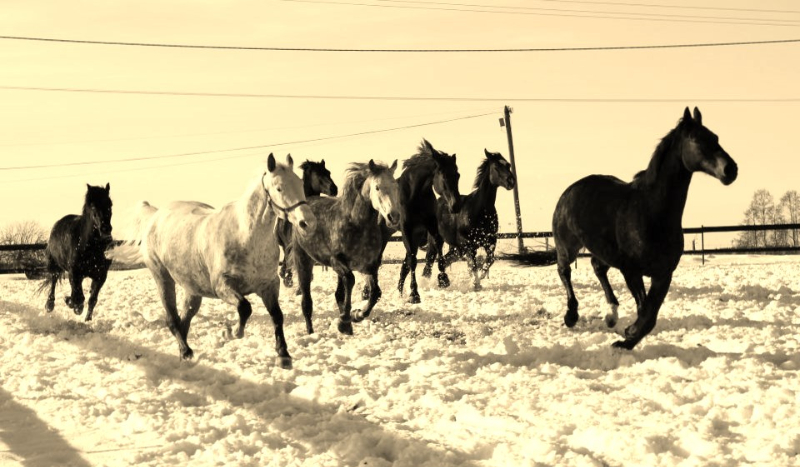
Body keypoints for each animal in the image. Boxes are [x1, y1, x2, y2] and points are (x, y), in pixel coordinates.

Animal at [41, 183, 113, 322]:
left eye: (110, 204)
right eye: (93, 206)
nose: (105, 228)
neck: (91, 247)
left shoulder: (101, 276)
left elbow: (92, 299)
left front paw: (87, 318)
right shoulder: (74, 273)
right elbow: (78, 297)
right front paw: (71, 304)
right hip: (56, 267)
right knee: (53, 282)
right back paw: (50, 305)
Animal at [109, 154, 316, 370]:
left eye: (300, 183)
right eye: (279, 188)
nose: (308, 223)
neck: (245, 237)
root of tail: (156, 216)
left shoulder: (269, 285)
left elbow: (277, 315)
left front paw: (284, 355)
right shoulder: (223, 286)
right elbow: (245, 308)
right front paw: (230, 332)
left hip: (193, 289)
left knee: (185, 320)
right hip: (162, 277)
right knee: (172, 319)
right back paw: (186, 351)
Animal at [424, 149, 520, 288]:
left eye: (508, 165)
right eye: (496, 167)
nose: (511, 181)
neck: (480, 210)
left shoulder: (490, 241)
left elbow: (489, 259)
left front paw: (482, 275)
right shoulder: (469, 245)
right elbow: (473, 265)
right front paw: (476, 283)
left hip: (457, 249)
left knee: (444, 262)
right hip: (435, 242)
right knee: (429, 265)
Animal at [512, 109, 736, 352]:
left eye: (715, 137)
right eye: (695, 139)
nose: (730, 169)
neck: (651, 212)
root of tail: (569, 191)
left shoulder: (663, 274)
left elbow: (649, 314)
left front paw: (627, 338)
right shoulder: (631, 271)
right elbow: (644, 312)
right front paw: (627, 337)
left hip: (603, 251)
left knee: (597, 267)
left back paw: (612, 314)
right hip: (568, 247)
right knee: (564, 270)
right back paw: (571, 315)